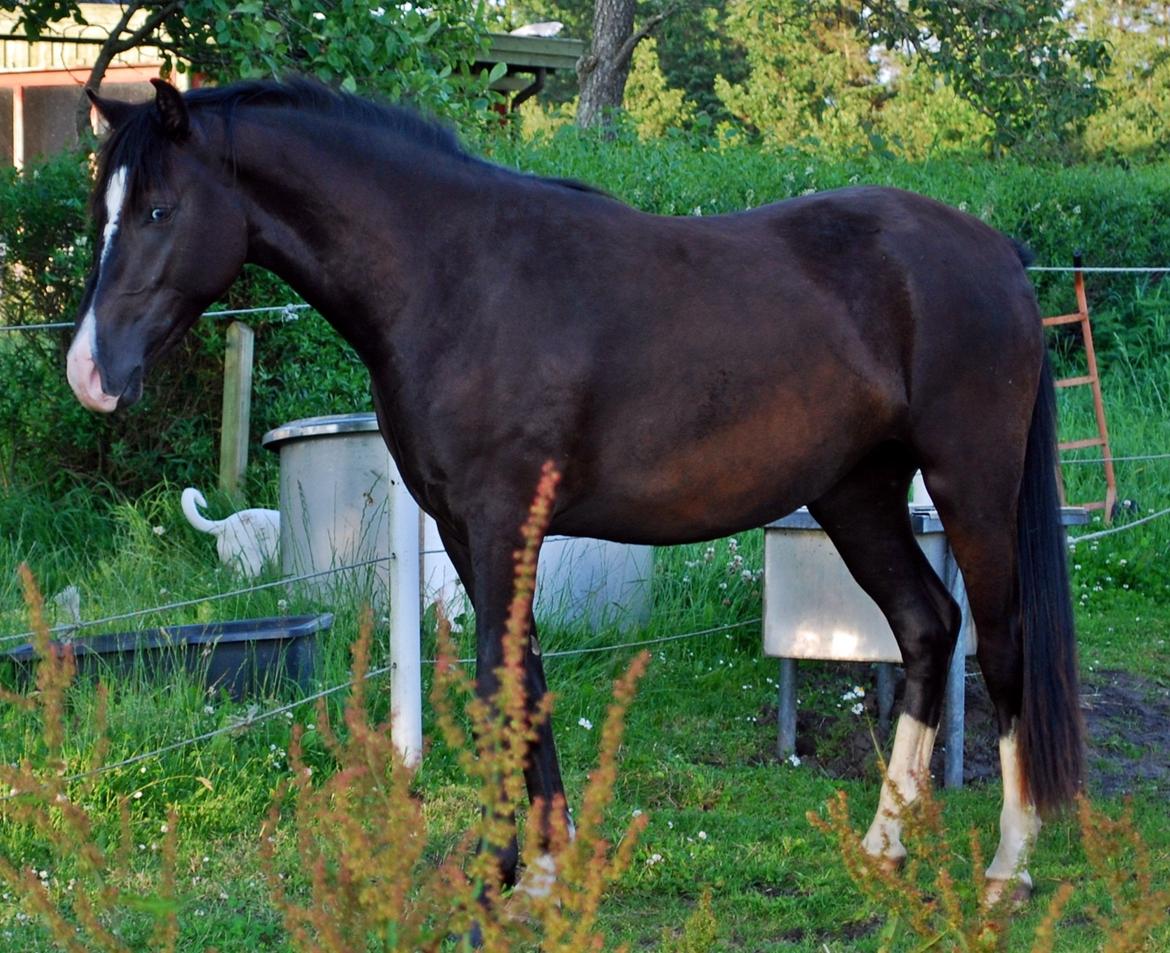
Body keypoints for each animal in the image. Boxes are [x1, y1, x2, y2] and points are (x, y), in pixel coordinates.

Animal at [68, 78, 1081, 907]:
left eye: (158, 208)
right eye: (98, 211)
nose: (90, 372)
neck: (456, 278)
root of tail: (998, 250)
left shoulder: (500, 521)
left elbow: (494, 679)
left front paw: (498, 870)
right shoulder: (469, 530)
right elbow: (526, 678)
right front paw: (544, 866)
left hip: (971, 486)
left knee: (1000, 644)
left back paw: (1009, 865)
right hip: (856, 495)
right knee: (927, 626)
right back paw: (883, 843)